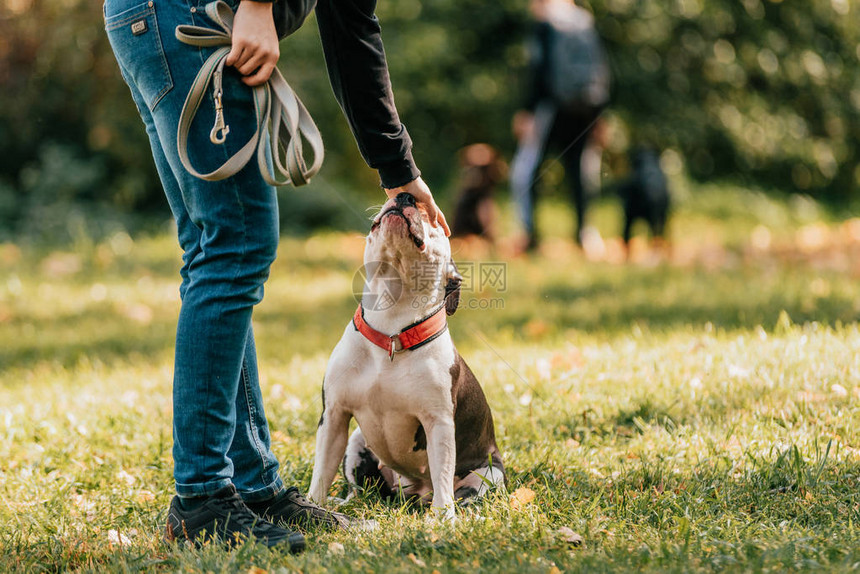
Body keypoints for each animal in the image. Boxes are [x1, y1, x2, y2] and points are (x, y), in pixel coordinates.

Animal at [310, 194, 508, 520]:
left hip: (488, 473)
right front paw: (313, 504)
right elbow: (322, 472)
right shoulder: (335, 416)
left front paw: (443, 520)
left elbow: (442, 473)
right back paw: (346, 503)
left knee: (465, 493)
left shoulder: (438, 423)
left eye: (434, 221)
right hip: (356, 442)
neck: (391, 332)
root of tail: (414, 495)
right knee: (360, 489)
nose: (405, 195)